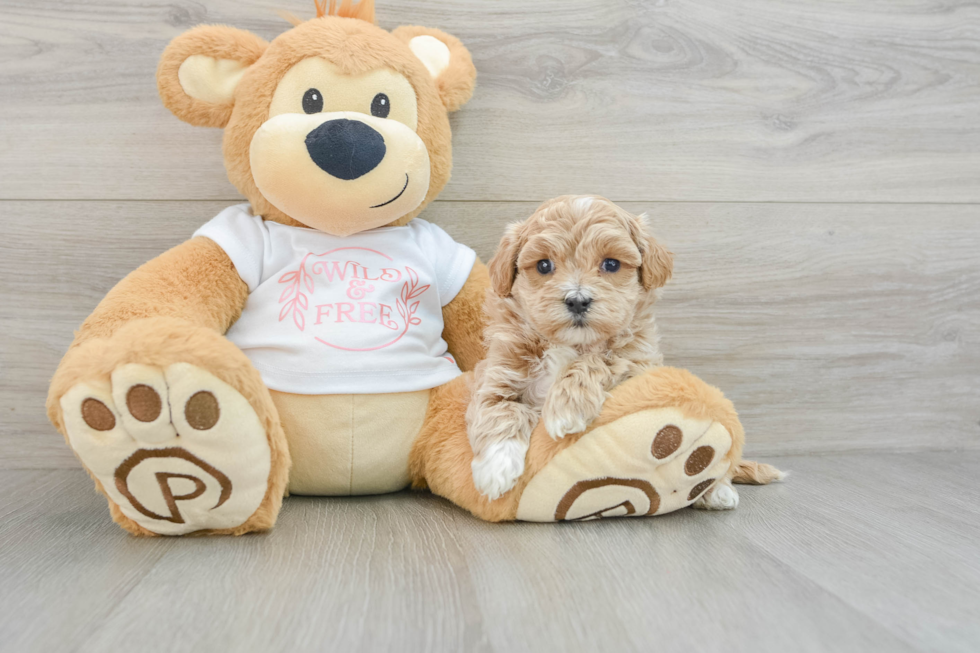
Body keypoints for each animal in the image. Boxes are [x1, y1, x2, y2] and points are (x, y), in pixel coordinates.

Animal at [468, 194, 672, 500]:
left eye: (611, 264)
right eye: (543, 266)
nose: (577, 300)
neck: (568, 343)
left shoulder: (637, 362)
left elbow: (599, 360)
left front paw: (566, 408)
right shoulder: (496, 376)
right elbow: (499, 409)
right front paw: (496, 468)